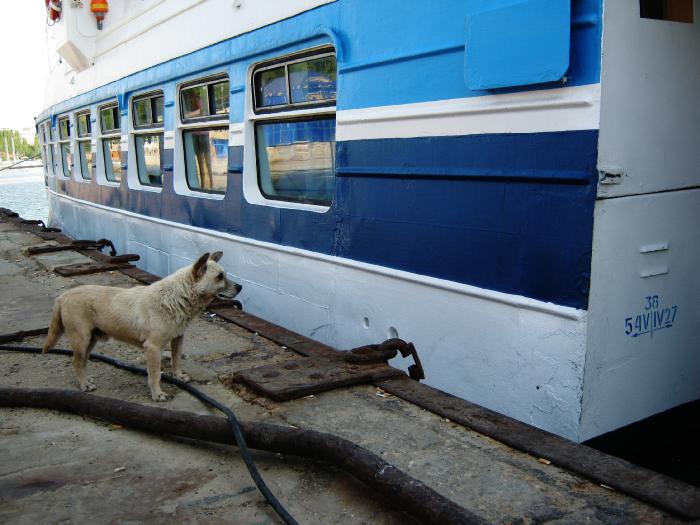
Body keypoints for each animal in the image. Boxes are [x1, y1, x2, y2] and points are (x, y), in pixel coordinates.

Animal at [43, 252, 242, 400]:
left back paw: (86, 379)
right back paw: (84, 385)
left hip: (91, 339)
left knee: (82, 361)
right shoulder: (153, 348)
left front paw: (178, 376)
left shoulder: (178, 338)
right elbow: (155, 374)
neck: (177, 297)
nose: (240, 287)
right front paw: (158, 394)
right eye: (220, 277)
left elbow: (176, 360)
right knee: (76, 361)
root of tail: (64, 296)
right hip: (82, 338)